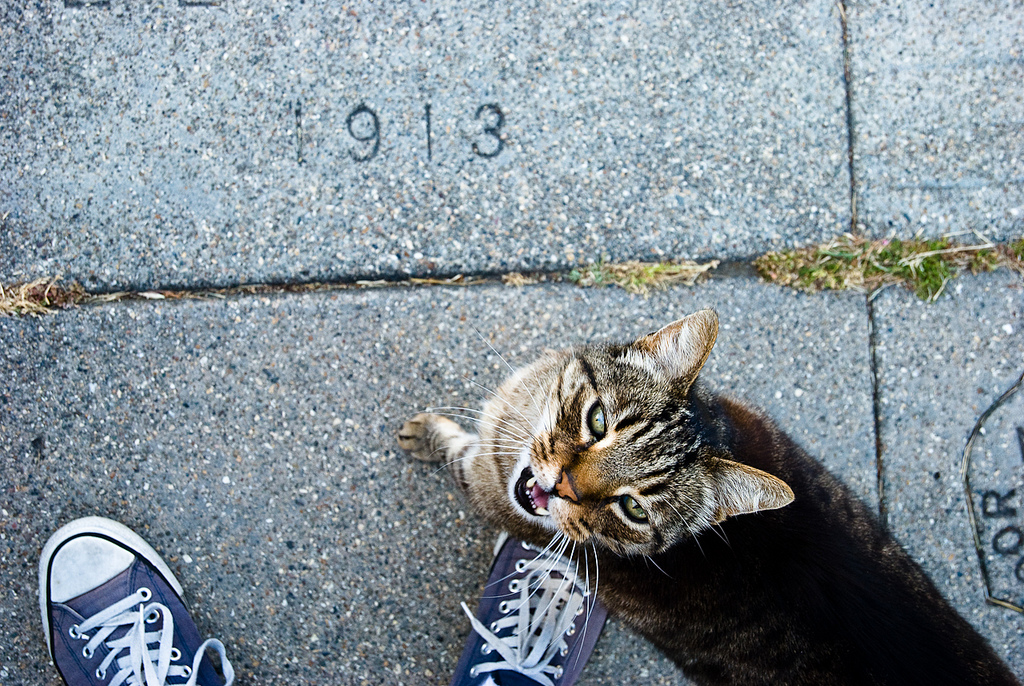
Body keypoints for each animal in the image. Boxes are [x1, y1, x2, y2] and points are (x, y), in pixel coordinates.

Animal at [397, 311, 1015, 686]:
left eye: (634, 508)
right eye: (597, 422)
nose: (562, 486)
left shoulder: (491, 489)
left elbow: (463, 458)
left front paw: (425, 435)